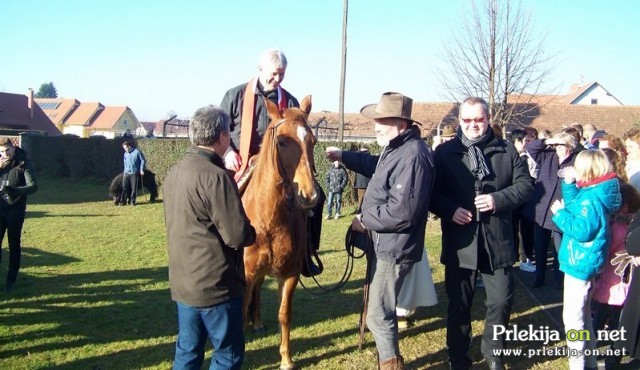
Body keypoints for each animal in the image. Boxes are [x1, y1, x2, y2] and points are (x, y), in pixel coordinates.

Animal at [241, 94, 318, 368]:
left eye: (313, 141)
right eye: (282, 142)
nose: (309, 195)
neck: (269, 221)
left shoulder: (290, 273)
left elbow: (285, 314)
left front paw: (286, 359)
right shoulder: (245, 274)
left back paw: (257, 321)